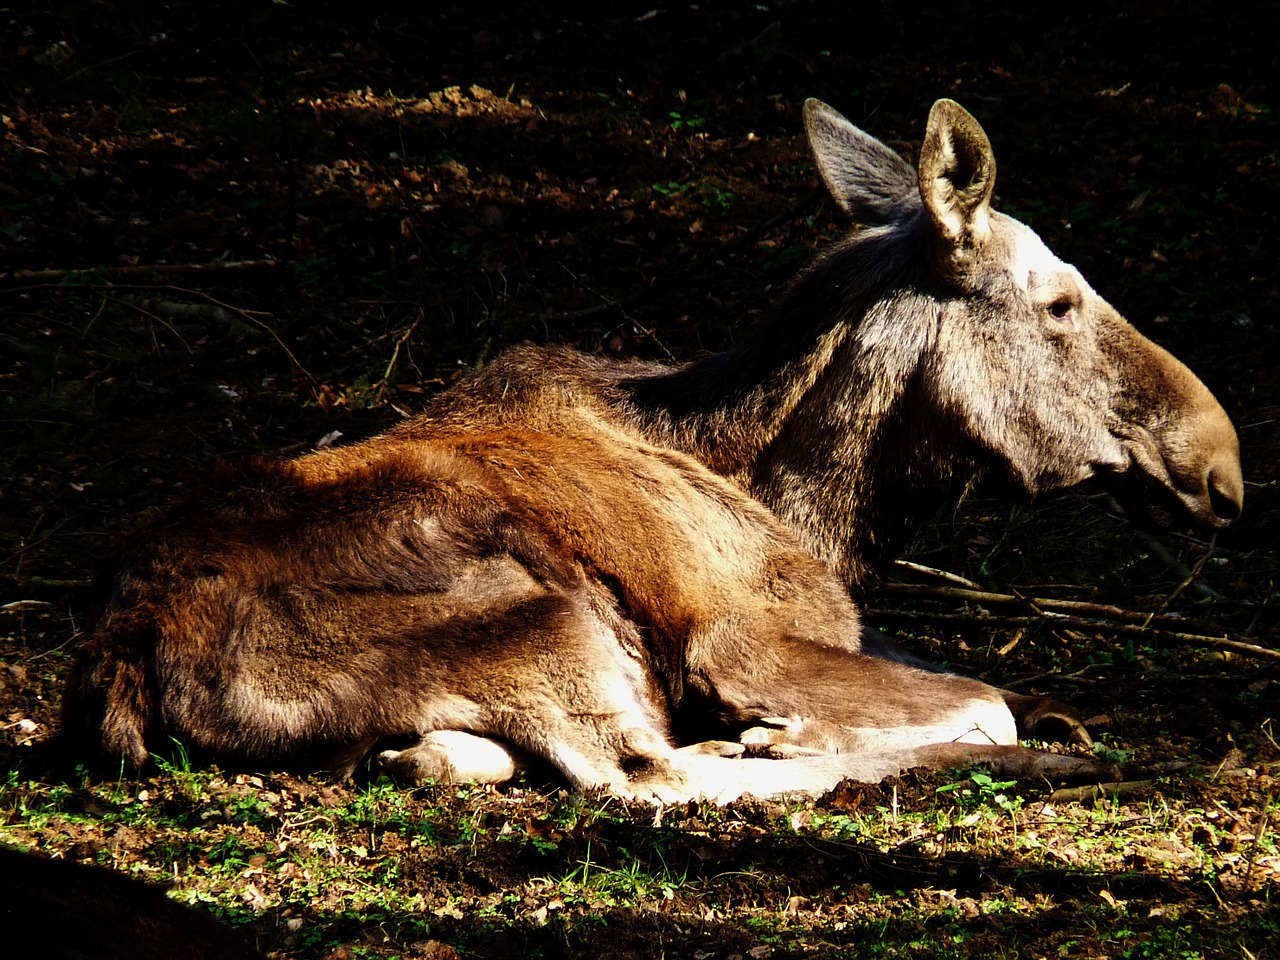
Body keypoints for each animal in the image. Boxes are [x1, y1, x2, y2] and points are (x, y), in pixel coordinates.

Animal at [64, 97, 1244, 803]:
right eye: (1058, 303)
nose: (1220, 468)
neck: (820, 504)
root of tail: (125, 655)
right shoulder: (742, 641)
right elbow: (984, 697)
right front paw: (800, 733)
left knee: (462, 758)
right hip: (551, 618)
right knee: (647, 777)